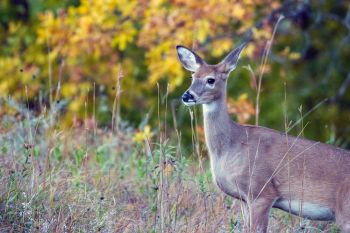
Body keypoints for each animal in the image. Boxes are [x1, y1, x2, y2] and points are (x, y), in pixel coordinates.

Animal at [176, 42, 350, 232]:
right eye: (193, 77)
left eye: (210, 80)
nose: (187, 95)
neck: (232, 145)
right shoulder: (245, 199)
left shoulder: (261, 192)